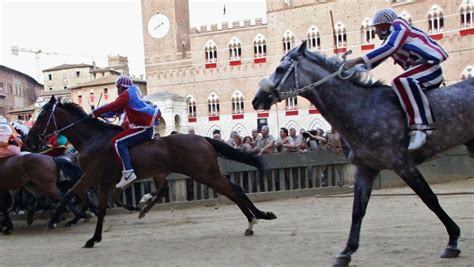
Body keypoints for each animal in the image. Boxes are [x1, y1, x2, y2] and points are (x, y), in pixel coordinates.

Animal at [25, 97, 276, 250]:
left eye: (41, 117)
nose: (29, 140)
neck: (92, 139)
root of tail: (203, 139)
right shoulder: (104, 181)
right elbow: (103, 209)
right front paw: (94, 238)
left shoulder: (92, 176)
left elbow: (68, 195)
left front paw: (54, 220)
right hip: (203, 173)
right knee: (235, 190)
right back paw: (257, 217)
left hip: (205, 173)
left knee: (234, 190)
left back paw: (254, 219)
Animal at [252, 40, 474, 266]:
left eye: (280, 69)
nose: (256, 99)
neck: (361, 108)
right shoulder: (366, 168)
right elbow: (357, 211)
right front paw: (346, 251)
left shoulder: (402, 163)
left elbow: (429, 198)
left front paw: (453, 239)